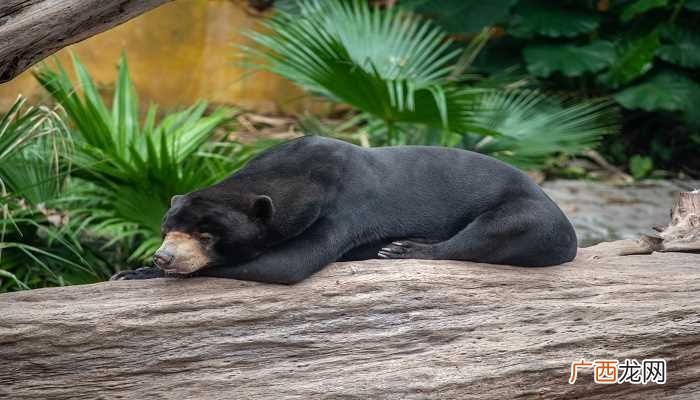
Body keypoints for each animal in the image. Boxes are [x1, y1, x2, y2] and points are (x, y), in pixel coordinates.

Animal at [111, 135, 577, 284]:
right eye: (166, 230)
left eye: (205, 235)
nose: (163, 257)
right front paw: (131, 271)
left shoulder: (342, 207)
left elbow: (287, 264)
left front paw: (137, 275)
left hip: (529, 215)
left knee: (487, 234)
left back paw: (400, 249)